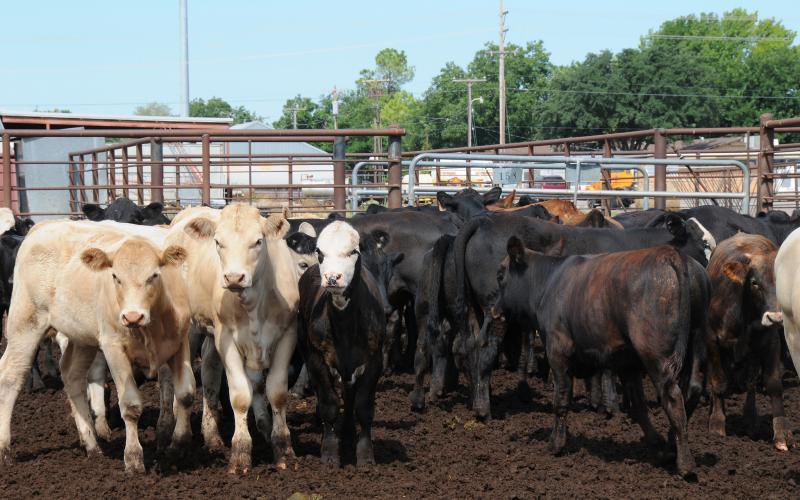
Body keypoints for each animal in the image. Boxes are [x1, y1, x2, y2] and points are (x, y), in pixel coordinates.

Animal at [0, 220, 193, 473]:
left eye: (154, 275)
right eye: (115, 277)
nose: (132, 316)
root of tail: (44, 225)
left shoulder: (180, 343)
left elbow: (186, 395)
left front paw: (177, 448)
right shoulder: (113, 348)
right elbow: (130, 406)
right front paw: (133, 459)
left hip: (82, 338)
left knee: (71, 375)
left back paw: (91, 445)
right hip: (25, 323)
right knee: (10, 376)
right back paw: (5, 449)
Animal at [166, 204, 297, 473]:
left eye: (258, 241)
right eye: (218, 242)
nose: (234, 277)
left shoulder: (288, 334)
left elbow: (277, 392)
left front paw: (282, 448)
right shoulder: (226, 338)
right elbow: (239, 396)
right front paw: (241, 452)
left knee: (209, 374)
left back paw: (212, 436)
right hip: (190, 328)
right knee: (182, 381)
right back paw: (178, 436)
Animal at [297, 221, 386, 466]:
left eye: (353, 251)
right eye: (320, 252)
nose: (332, 277)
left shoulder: (374, 360)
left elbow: (363, 407)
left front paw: (365, 456)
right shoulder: (316, 359)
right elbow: (329, 405)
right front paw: (329, 453)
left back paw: (347, 433)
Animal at [494, 239, 698, 475]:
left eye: (500, 274)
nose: (494, 310)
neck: (549, 283)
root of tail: (669, 253)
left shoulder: (557, 352)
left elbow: (561, 399)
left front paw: (556, 444)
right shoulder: (627, 363)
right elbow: (638, 406)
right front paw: (658, 449)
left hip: (656, 357)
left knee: (673, 399)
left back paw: (686, 465)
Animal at [705, 234, 789, 451]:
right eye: (754, 283)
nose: (776, 317)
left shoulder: (770, 341)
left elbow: (773, 384)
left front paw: (781, 435)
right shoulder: (712, 341)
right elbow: (719, 382)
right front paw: (717, 424)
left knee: (751, 382)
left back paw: (751, 420)